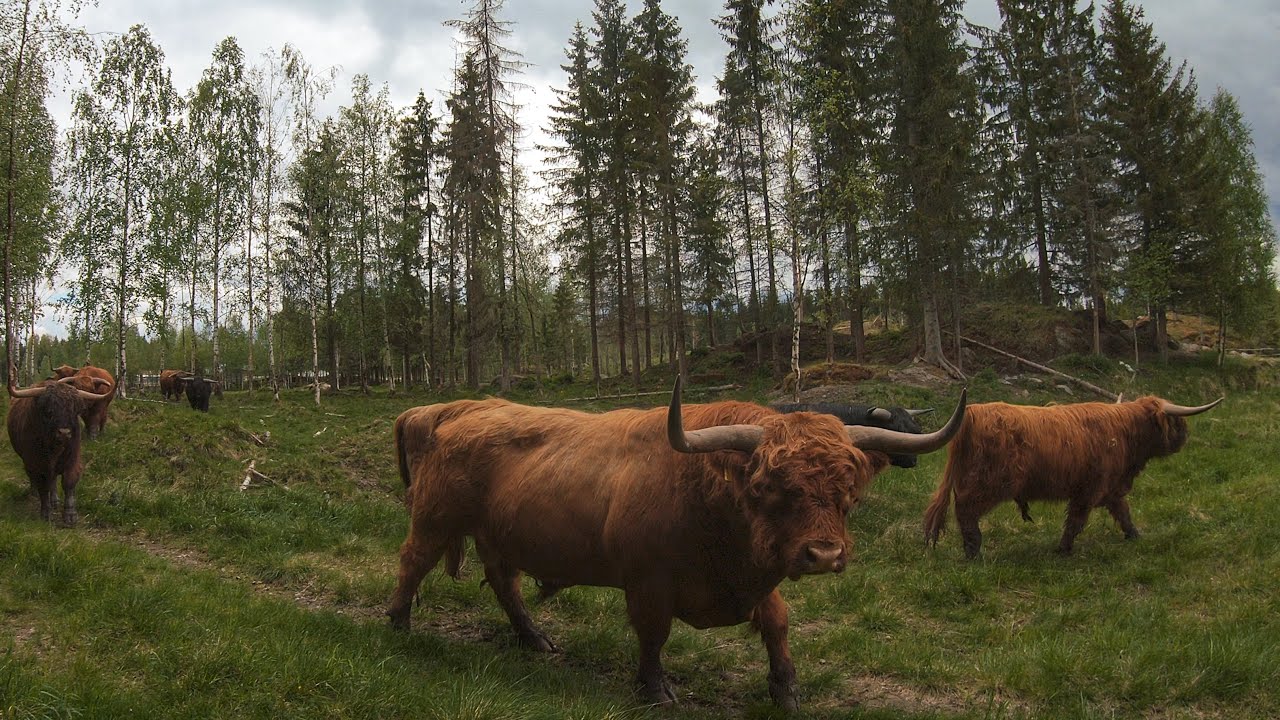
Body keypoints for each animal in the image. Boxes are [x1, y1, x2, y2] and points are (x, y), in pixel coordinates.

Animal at [7, 368, 114, 525]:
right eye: (48, 411)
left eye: (74, 410)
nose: (64, 432)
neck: (54, 449)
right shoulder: (36, 463)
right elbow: (43, 487)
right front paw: (46, 513)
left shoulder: (72, 459)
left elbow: (69, 482)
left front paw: (70, 515)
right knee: (36, 479)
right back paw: (35, 494)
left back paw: (55, 501)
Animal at [923, 395, 1223, 558]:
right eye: (1177, 421)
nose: (1185, 438)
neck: (1126, 433)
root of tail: (970, 415)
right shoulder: (1090, 488)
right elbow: (1076, 522)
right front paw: (1063, 549)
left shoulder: (1111, 488)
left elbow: (1123, 513)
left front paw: (1135, 535)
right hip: (987, 483)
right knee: (965, 511)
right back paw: (974, 551)